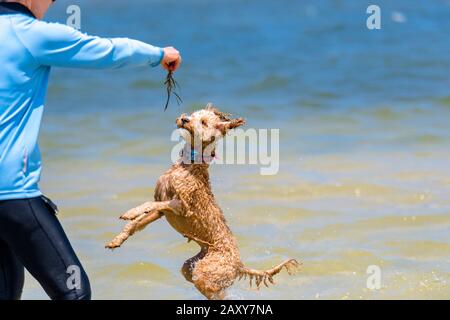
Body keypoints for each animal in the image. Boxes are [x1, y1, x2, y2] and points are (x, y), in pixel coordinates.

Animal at [106, 104, 298, 298]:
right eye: (193, 115)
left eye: (204, 122)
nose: (184, 119)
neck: (189, 164)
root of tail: (239, 265)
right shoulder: (161, 210)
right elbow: (136, 224)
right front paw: (117, 240)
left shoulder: (181, 206)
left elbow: (148, 206)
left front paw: (130, 212)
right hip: (191, 266)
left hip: (205, 271)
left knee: (216, 292)